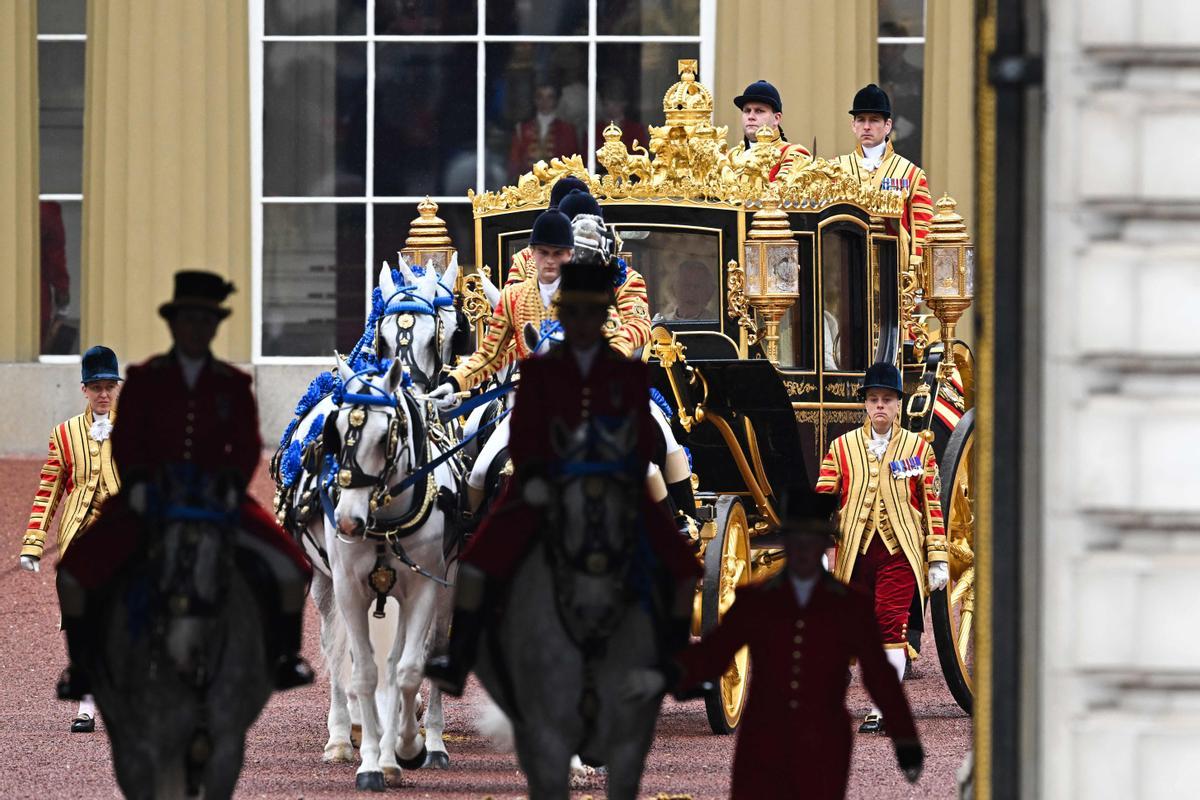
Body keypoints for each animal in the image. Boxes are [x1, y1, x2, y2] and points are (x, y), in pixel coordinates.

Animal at [328, 359, 458, 791]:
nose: (348, 522)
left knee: (422, 656)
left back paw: (425, 745)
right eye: (335, 430)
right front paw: (370, 764)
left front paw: (407, 746)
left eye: (386, 435)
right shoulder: (348, 591)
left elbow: (408, 670)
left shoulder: (423, 589)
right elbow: (366, 673)